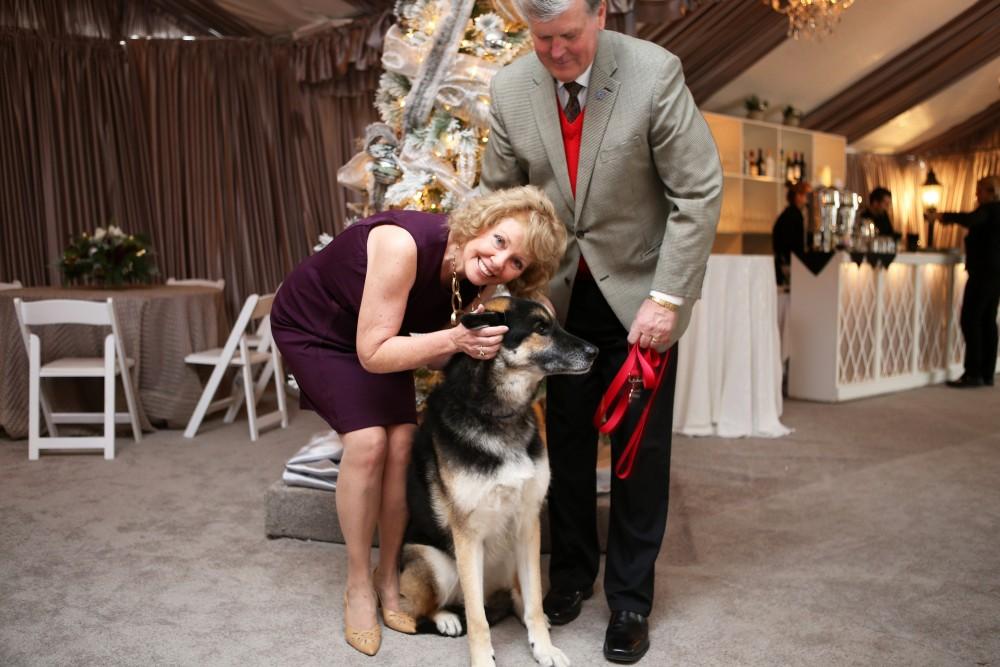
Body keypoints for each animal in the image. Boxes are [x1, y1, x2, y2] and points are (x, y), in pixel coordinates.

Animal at [402, 298, 596, 667]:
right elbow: (477, 619)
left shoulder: (528, 524)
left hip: (513, 556)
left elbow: (533, 600)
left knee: (520, 596)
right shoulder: (466, 536)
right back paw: (446, 618)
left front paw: (543, 646)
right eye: (540, 328)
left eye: (554, 324)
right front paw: (482, 659)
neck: (499, 415)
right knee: (433, 607)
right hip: (437, 564)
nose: (595, 351)